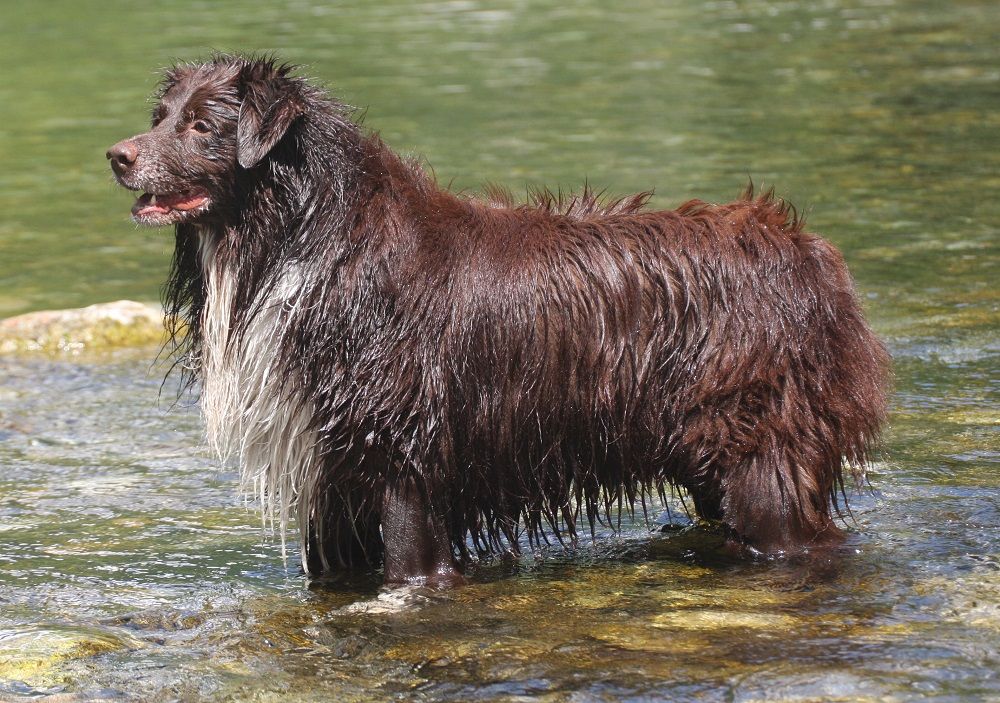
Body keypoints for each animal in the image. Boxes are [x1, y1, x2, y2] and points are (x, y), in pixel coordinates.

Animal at [109, 55, 892, 584]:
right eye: (159, 117)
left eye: (203, 125)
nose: (117, 156)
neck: (301, 236)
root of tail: (808, 249)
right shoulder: (333, 481)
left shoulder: (403, 458)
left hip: (763, 453)